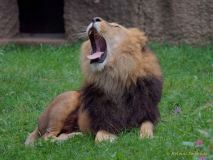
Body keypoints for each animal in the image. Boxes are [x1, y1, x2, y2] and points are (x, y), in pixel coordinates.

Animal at [25, 16, 162, 146]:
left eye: (116, 26)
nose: (94, 18)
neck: (115, 77)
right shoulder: (103, 120)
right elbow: (100, 138)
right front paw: (111, 139)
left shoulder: (145, 113)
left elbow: (147, 126)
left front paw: (145, 138)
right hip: (69, 98)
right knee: (46, 138)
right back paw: (75, 136)